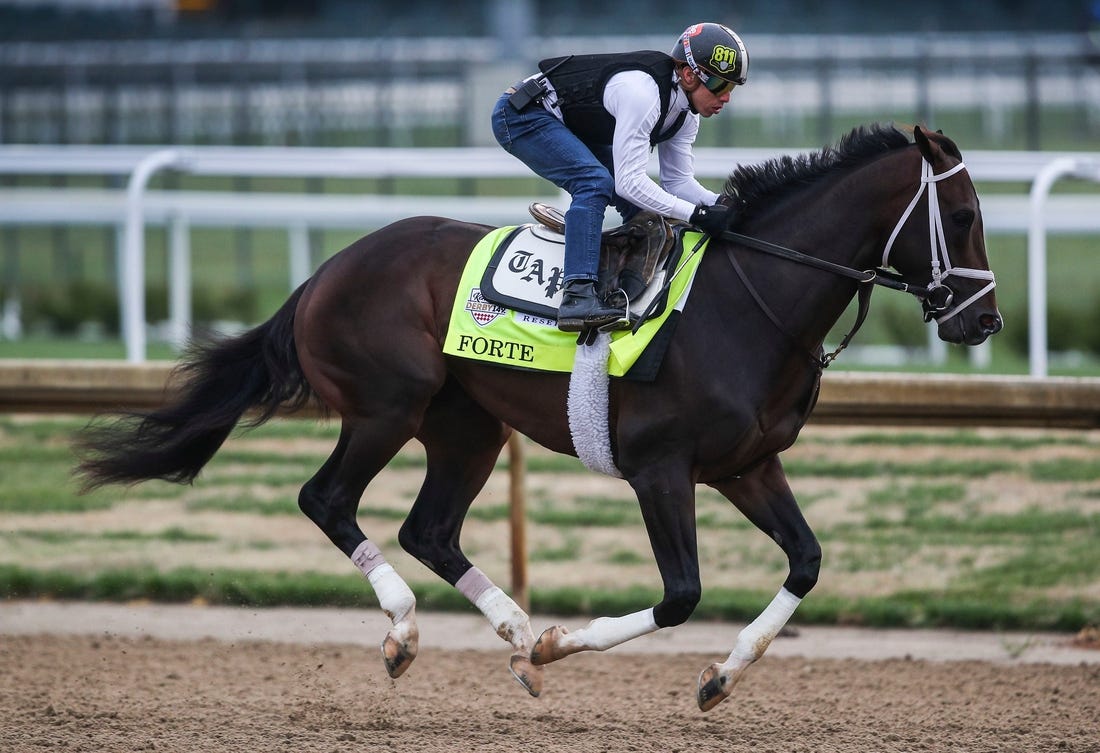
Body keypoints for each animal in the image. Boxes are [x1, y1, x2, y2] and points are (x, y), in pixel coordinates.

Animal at [75, 123, 1007, 712]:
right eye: (962, 217)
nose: (984, 321)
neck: (752, 303)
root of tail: (325, 271)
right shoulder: (660, 469)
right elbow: (680, 594)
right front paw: (563, 646)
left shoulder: (747, 464)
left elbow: (807, 562)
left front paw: (720, 677)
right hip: (386, 404)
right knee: (328, 499)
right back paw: (411, 631)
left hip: (468, 426)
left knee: (429, 528)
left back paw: (513, 629)